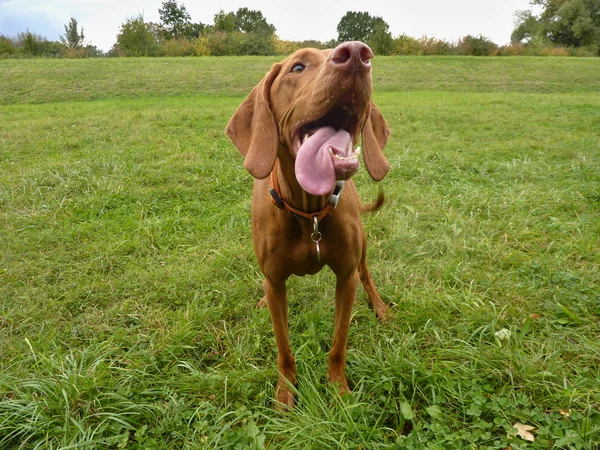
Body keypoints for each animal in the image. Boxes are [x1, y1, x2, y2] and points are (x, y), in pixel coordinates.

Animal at [227, 41, 392, 408]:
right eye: (298, 67)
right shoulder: (276, 281)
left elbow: (338, 345)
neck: (309, 211)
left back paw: (380, 307)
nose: (357, 54)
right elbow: (284, 348)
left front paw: (339, 390)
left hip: (362, 250)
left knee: (367, 274)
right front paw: (285, 393)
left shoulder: (346, 278)